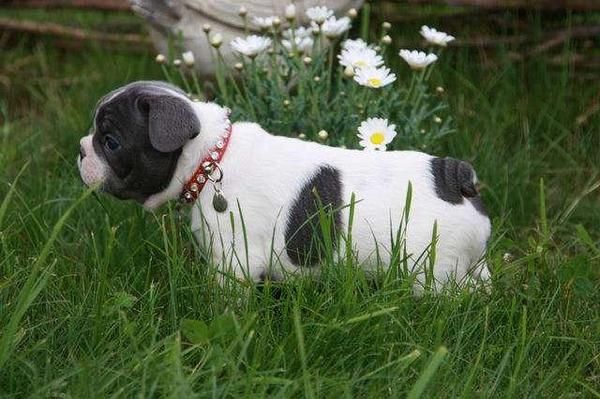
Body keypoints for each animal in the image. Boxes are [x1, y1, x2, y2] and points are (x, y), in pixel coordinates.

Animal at [78, 81, 492, 290]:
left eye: (110, 142)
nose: (81, 150)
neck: (211, 158)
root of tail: (454, 176)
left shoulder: (236, 258)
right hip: (470, 262)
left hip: (434, 269)